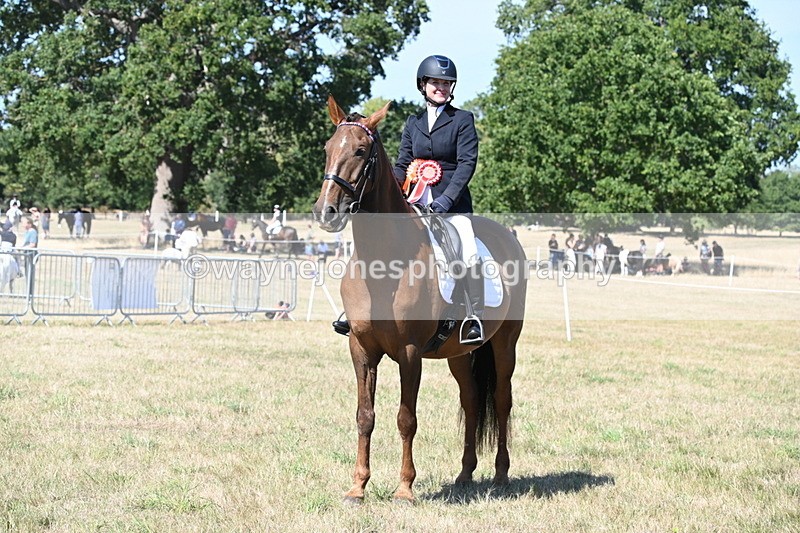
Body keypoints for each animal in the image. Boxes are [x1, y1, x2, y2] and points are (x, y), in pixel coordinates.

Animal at [312, 96, 527, 504]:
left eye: (360, 151)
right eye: (328, 149)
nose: (326, 212)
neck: (383, 261)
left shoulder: (409, 353)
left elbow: (405, 418)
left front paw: (404, 488)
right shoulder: (361, 349)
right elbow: (365, 416)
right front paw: (357, 487)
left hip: (505, 343)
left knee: (502, 401)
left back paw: (501, 475)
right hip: (459, 352)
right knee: (471, 401)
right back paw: (465, 474)